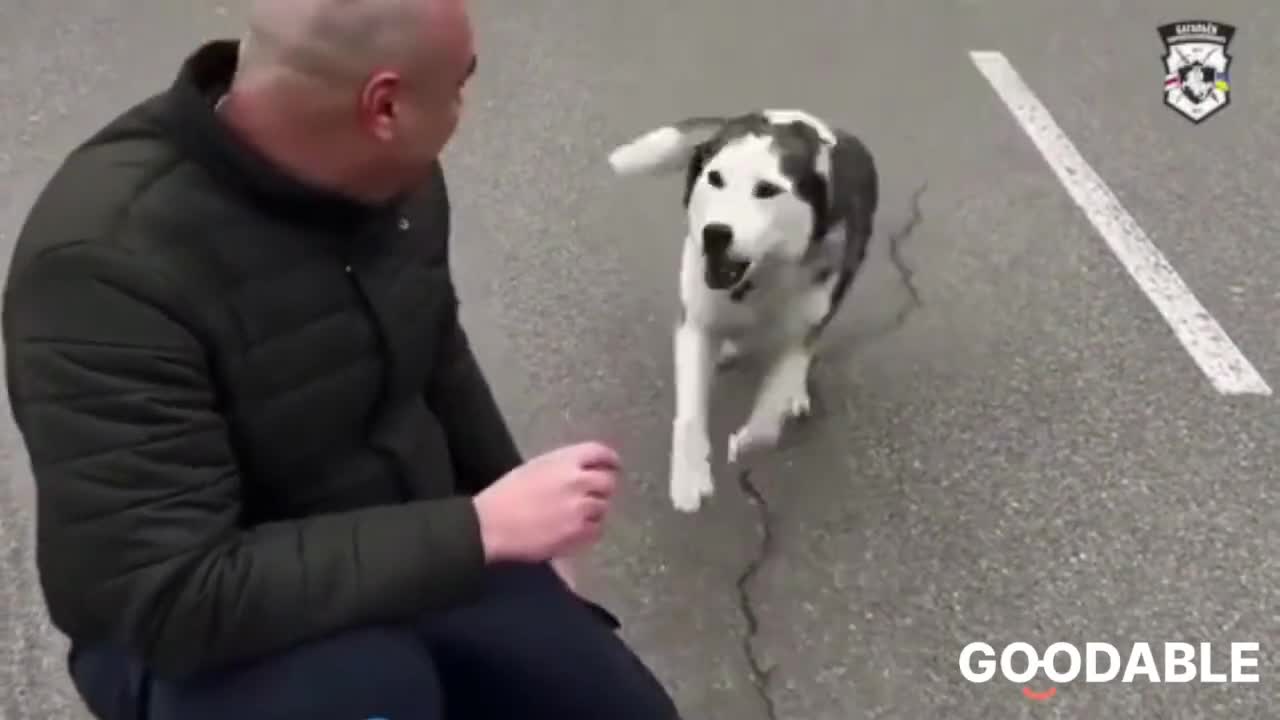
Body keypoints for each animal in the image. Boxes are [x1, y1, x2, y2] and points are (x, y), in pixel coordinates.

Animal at [609, 107, 880, 509]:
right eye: (715, 179)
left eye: (766, 190)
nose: (715, 234)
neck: (759, 277)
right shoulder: (696, 324)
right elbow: (689, 414)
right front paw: (689, 477)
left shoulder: (800, 330)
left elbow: (768, 421)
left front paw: (748, 442)